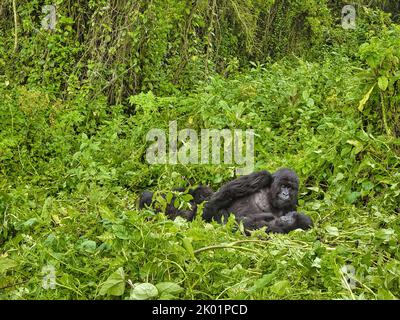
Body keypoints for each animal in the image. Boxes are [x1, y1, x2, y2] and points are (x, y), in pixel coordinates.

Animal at [139, 169, 314, 234]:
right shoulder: (261, 176)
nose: (285, 193)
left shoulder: (291, 207)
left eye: (291, 188)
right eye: (284, 185)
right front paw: (201, 214)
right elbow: (225, 193)